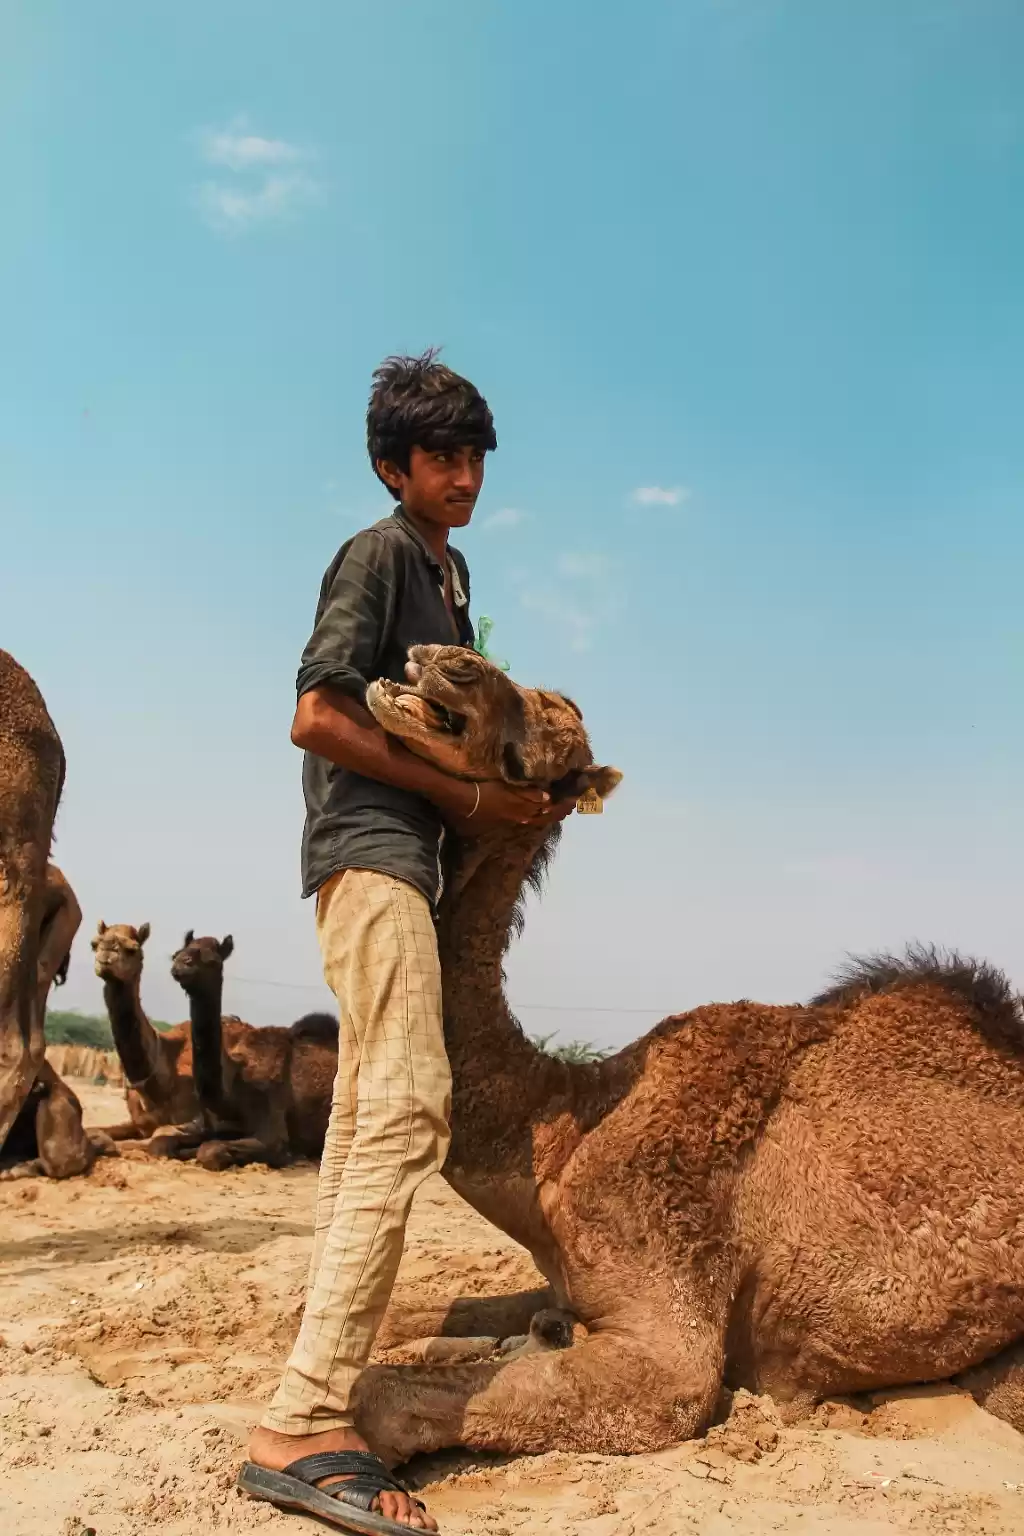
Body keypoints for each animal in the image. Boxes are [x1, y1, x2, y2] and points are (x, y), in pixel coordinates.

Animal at [91, 920, 337, 1168]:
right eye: (176, 954)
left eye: (212, 960)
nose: (182, 965)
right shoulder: (205, 1124)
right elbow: (160, 1142)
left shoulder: (272, 1130)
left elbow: (207, 1149)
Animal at [330, 642, 1024, 1466]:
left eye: (553, 744)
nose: (454, 659)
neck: (565, 1121)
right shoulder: (564, 1276)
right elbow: (415, 1315)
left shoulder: (670, 1327)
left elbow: (380, 1393)